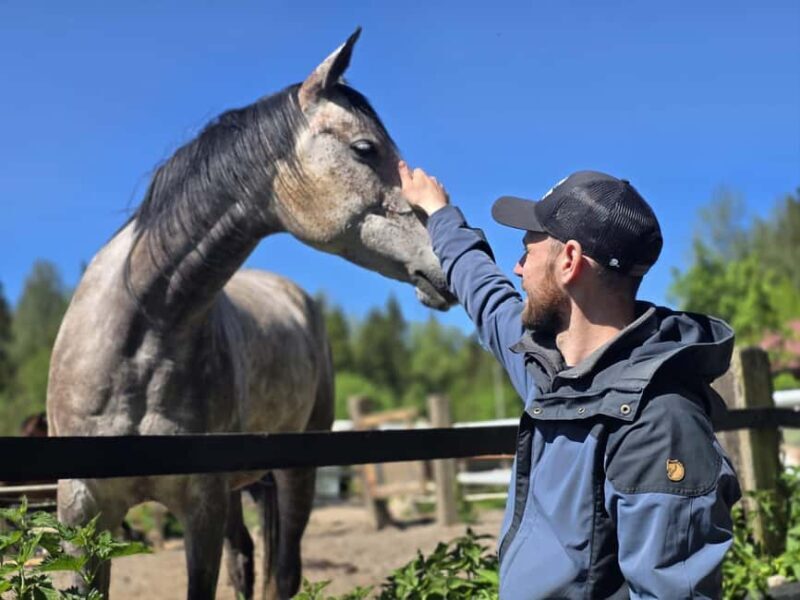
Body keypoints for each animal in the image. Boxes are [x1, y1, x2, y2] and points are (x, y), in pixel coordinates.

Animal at [46, 28, 453, 600]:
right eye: (365, 149)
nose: (452, 255)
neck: (142, 336)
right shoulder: (84, 514)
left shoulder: (204, 507)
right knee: (246, 562)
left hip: (293, 477)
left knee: (282, 571)